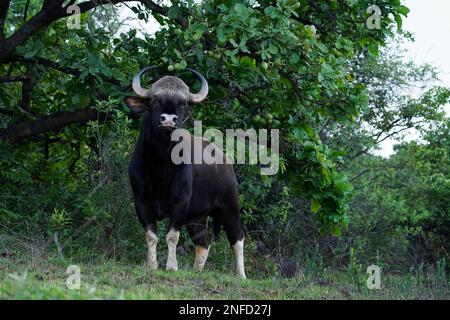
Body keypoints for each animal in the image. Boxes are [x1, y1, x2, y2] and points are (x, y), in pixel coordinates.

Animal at [124, 67, 246, 278]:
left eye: (182, 103)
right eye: (155, 99)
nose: (168, 120)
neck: (160, 165)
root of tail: (225, 161)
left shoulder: (180, 203)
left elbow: (172, 236)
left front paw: (172, 266)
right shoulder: (141, 200)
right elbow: (151, 235)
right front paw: (152, 265)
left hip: (229, 206)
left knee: (237, 238)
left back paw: (241, 275)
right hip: (197, 217)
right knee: (204, 242)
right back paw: (197, 271)